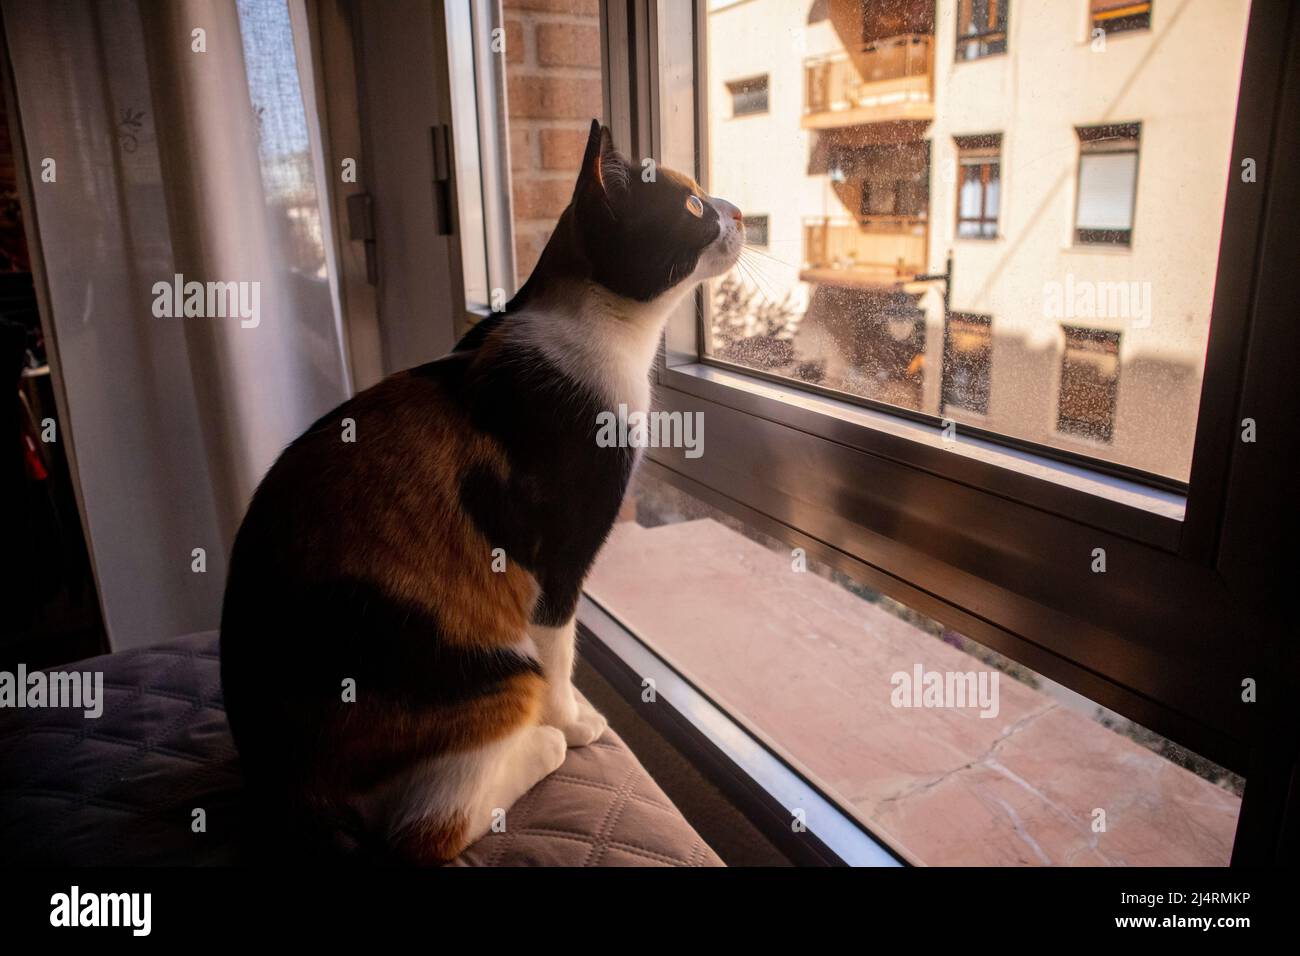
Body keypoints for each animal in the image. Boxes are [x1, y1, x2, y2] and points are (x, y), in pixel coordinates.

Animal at [214, 121, 743, 868]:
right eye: (692, 206)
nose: (740, 213)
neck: (588, 325)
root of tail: (286, 791)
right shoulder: (556, 562)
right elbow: (561, 654)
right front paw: (574, 723)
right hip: (494, 675)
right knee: (427, 828)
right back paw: (541, 746)